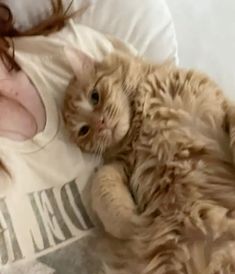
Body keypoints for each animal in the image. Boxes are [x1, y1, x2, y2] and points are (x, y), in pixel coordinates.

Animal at [63, 48, 235, 272]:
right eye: (84, 130)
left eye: (95, 97)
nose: (101, 124)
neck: (139, 123)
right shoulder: (122, 165)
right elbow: (102, 184)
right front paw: (133, 224)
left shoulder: (221, 104)